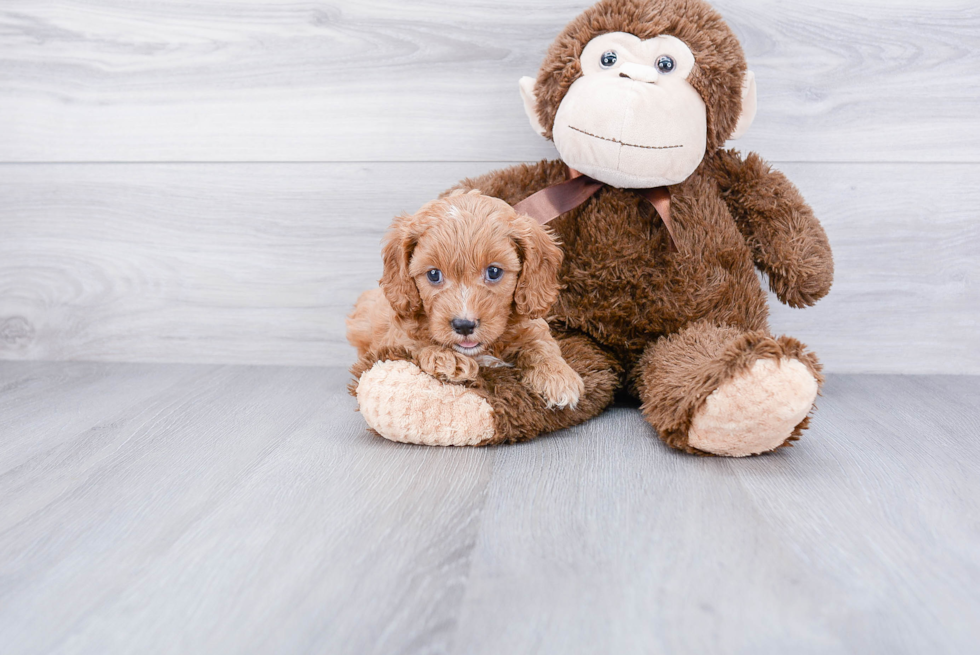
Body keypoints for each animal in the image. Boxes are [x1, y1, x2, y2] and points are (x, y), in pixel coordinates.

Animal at [348, 187, 584, 410]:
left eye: (494, 272)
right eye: (434, 274)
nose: (463, 325)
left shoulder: (529, 326)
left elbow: (541, 344)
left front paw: (557, 376)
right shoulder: (396, 339)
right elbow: (415, 347)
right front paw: (446, 359)